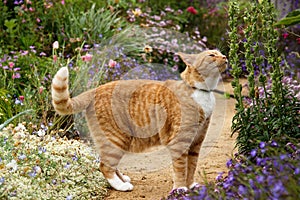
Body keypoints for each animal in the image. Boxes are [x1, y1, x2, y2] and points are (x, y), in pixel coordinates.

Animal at [51, 49, 227, 191]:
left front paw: (191, 185)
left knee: (109, 163)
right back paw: (121, 186)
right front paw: (180, 189)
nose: (225, 56)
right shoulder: (180, 142)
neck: (201, 92)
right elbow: (180, 168)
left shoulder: (196, 143)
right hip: (116, 138)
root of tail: (96, 89)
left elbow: (191, 167)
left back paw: (123, 179)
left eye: (220, 53)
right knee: (105, 165)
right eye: (212, 55)